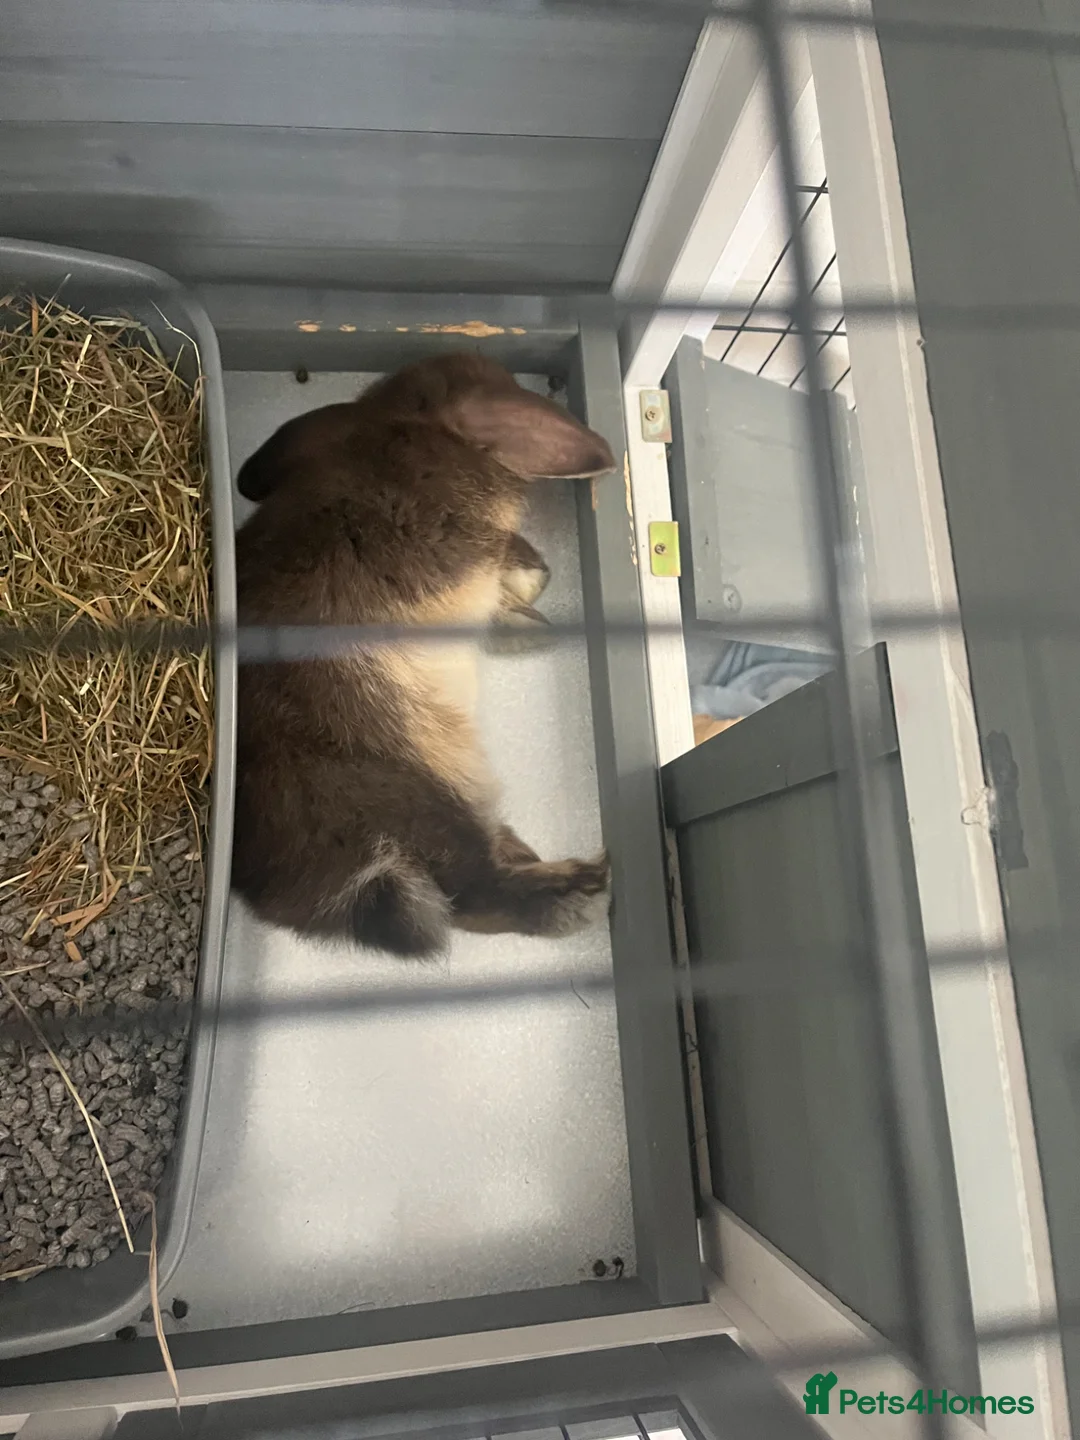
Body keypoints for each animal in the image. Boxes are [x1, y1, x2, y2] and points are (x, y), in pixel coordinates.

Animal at [231, 352, 617, 959]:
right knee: (475, 894)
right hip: (421, 793)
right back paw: (582, 885)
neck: (414, 425)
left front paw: (530, 611)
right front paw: (531, 583)